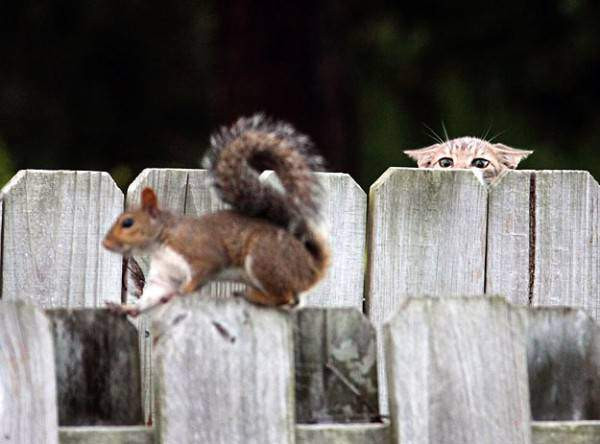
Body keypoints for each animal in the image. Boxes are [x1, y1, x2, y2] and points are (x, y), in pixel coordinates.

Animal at [102, 114, 328, 316]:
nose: (105, 244)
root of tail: (311, 266)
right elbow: (153, 294)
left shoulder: (201, 254)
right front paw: (125, 308)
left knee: (284, 297)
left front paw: (181, 293)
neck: (161, 241)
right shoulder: (165, 275)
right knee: (291, 300)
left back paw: (252, 296)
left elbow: (200, 275)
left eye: (128, 223)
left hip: (264, 259)